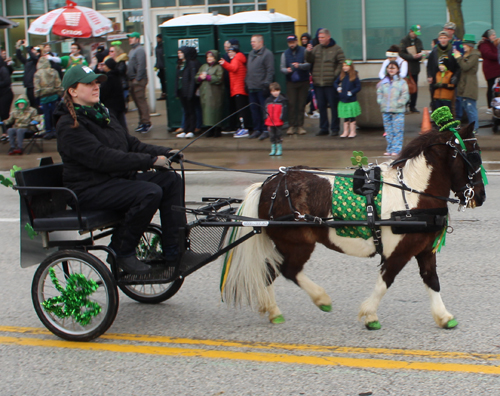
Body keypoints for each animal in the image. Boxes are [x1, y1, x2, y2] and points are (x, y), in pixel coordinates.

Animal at [222, 123, 484, 328]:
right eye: (474, 156)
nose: (480, 197)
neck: (412, 193)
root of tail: (268, 184)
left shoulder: (424, 249)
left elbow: (432, 280)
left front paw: (444, 317)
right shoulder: (399, 252)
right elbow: (385, 281)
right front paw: (370, 316)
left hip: (288, 244)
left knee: (270, 271)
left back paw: (273, 310)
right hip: (297, 243)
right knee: (288, 270)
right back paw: (320, 299)